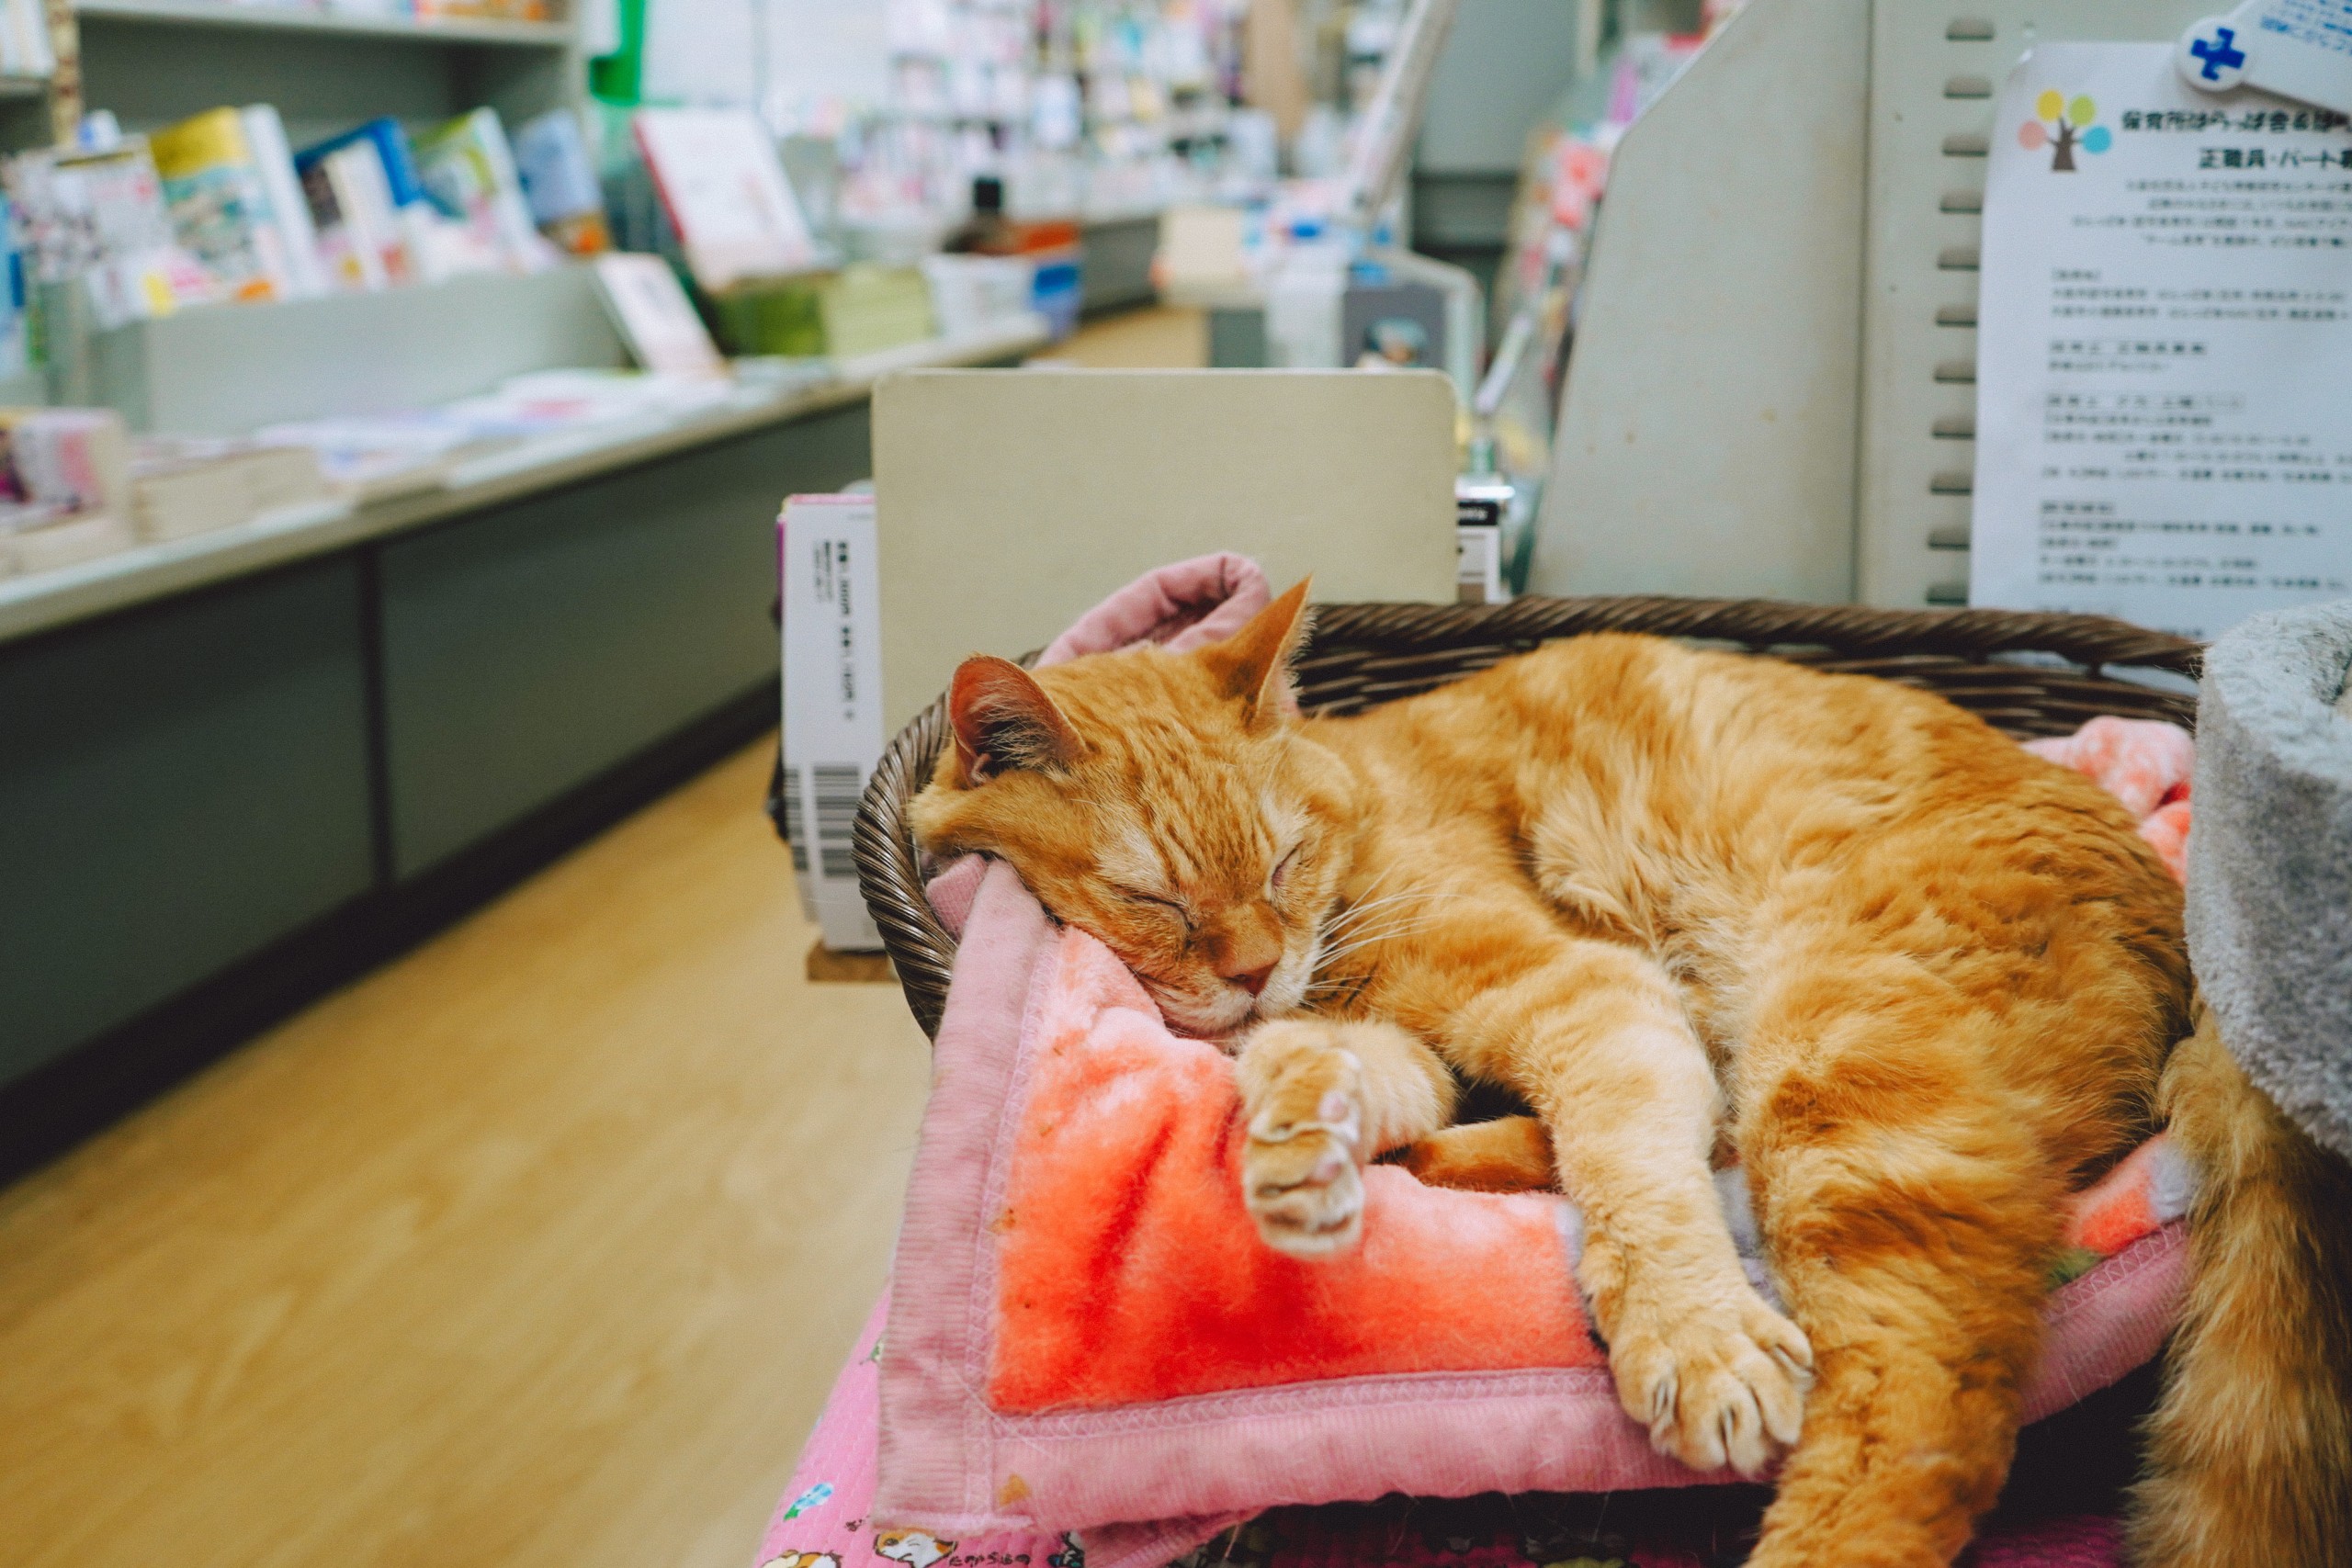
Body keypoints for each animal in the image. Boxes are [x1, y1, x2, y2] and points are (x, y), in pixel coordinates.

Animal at [903, 585, 2257, 1568]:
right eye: (1154, 899)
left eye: (1282, 861)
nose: (1249, 968)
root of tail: (2186, 930)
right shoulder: (1418, 1036)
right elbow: (1349, 1067)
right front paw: (1301, 1140)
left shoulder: (1591, 991)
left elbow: (1634, 1171)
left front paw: (1693, 1335)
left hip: (1846, 1075)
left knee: (1923, 1414)